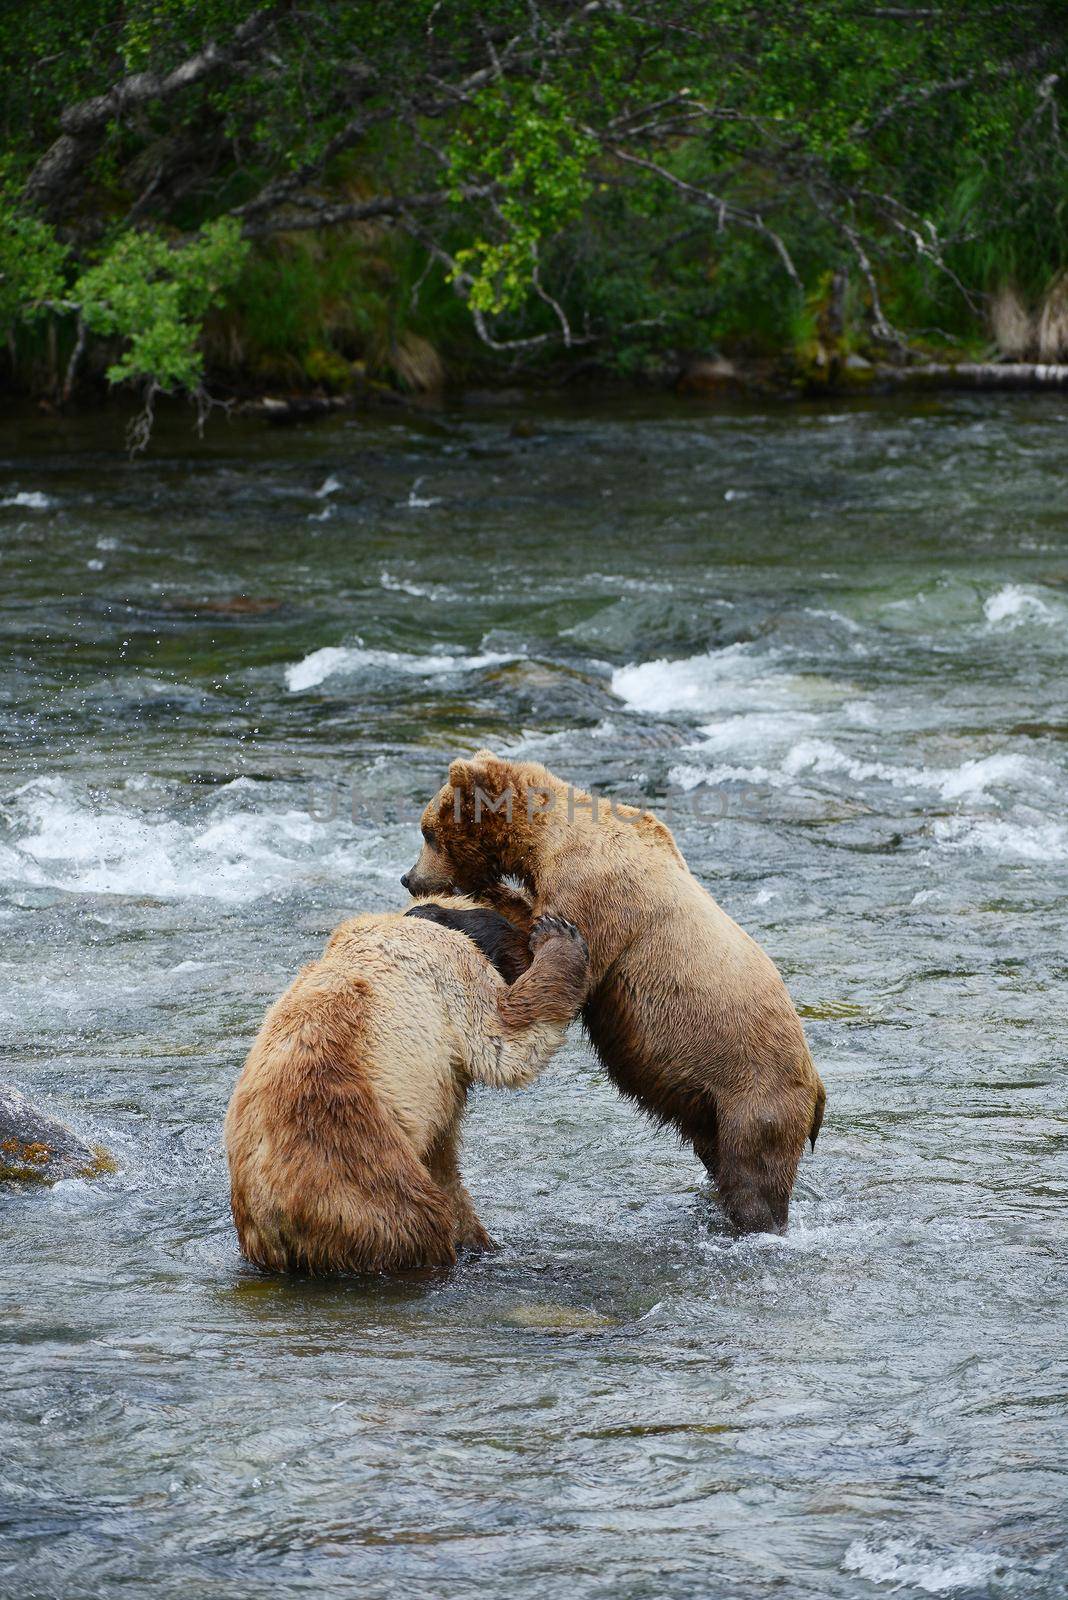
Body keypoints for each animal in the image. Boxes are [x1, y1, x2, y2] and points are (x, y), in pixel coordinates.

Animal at [225, 889, 588, 1273]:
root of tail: (275, 1219)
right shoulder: (448, 968)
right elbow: (502, 1039)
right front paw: (559, 936)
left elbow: (444, 1159)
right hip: (351, 1159)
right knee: (409, 1219)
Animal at [399, 752, 824, 1235]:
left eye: (427, 832)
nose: (409, 878)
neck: (545, 842)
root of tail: (818, 1089)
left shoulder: (594, 894)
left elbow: (542, 965)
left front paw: (440, 911)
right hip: (711, 1106)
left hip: (755, 1097)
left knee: (753, 1179)